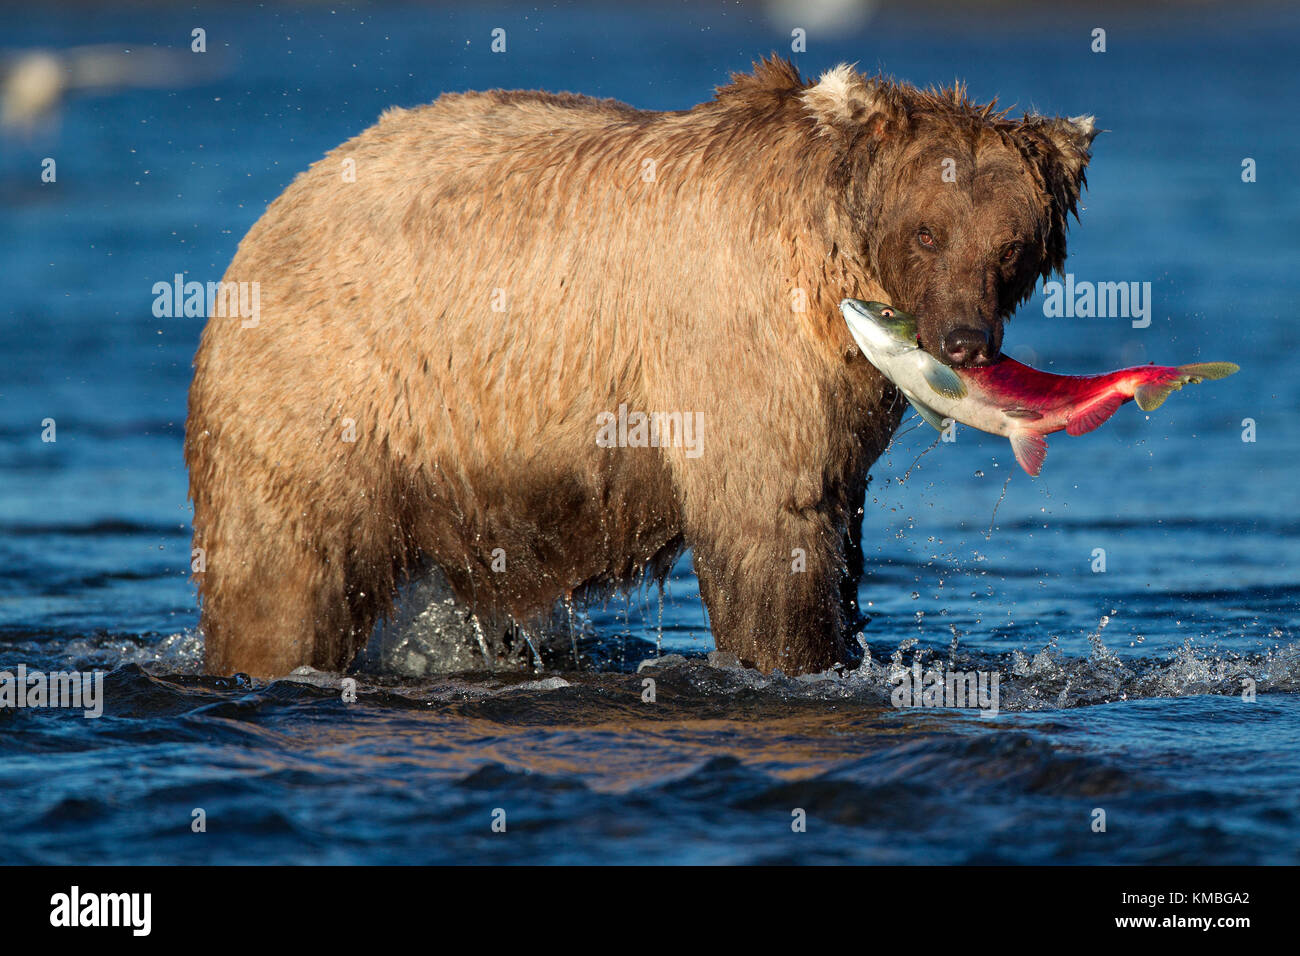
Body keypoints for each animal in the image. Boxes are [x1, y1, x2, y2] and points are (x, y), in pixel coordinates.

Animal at [185, 56, 1096, 678]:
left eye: (1010, 245)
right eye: (928, 231)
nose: (964, 340)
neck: (834, 275)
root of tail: (270, 217)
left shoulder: (840, 402)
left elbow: (834, 524)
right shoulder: (734, 339)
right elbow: (770, 530)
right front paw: (794, 659)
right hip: (326, 392)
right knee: (285, 580)